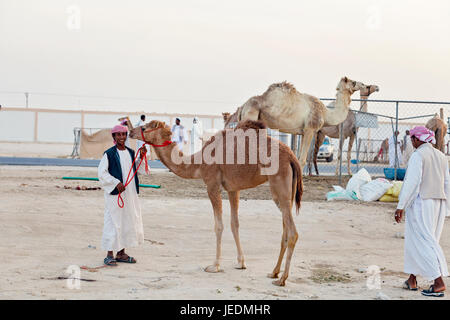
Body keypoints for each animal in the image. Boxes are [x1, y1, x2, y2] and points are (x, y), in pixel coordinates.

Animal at [132, 120, 304, 288]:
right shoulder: (233, 189)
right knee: (285, 230)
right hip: (284, 193)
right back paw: (274, 272)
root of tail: (292, 158)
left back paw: (282, 279)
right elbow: (235, 224)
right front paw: (241, 263)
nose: (130, 131)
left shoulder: (212, 185)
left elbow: (218, 226)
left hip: (279, 185)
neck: (199, 163)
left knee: (293, 233)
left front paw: (214, 266)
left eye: (144, 127)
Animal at [223, 76, 364, 169]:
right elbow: (302, 160)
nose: (364, 84)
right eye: (353, 82)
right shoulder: (310, 129)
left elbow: (298, 158)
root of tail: (243, 107)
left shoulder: (303, 132)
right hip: (250, 119)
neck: (326, 113)